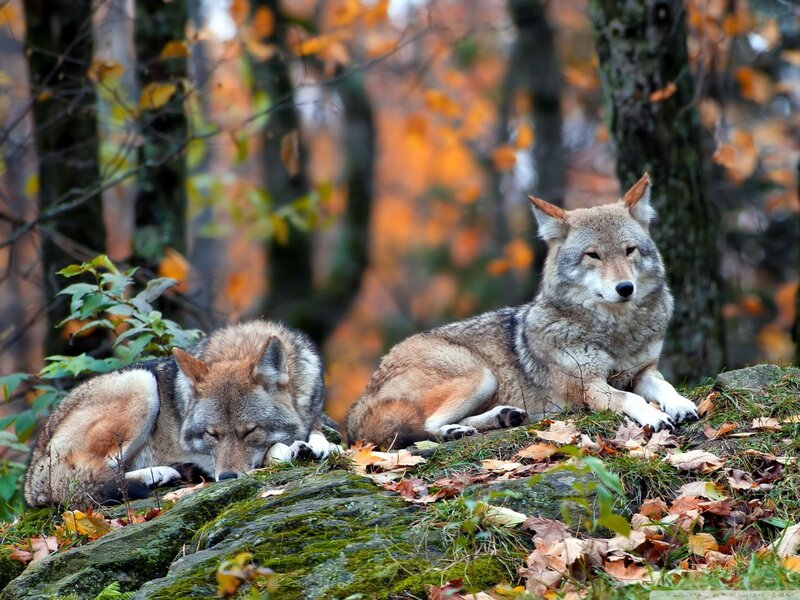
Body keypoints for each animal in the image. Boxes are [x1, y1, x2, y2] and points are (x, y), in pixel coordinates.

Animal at [25, 320, 338, 507]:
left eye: (250, 430)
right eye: (212, 434)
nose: (227, 478)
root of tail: (32, 475)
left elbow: (320, 434)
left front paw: (319, 445)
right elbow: (274, 450)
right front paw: (292, 449)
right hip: (141, 385)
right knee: (86, 481)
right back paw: (158, 474)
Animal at [346, 173, 699, 448]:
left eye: (629, 251)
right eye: (593, 255)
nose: (625, 288)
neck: (615, 332)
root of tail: (359, 403)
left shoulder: (643, 371)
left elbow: (665, 386)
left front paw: (681, 405)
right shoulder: (590, 386)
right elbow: (632, 399)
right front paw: (655, 415)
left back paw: (501, 417)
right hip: (479, 374)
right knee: (424, 428)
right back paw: (455, 431)